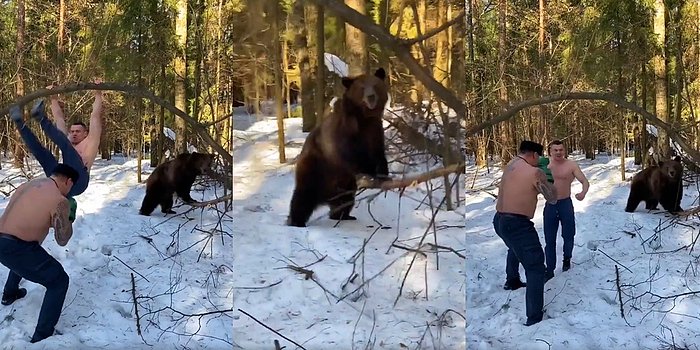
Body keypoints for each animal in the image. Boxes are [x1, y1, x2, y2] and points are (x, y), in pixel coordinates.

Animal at [286, 68, 392, 227]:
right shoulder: (344, 133)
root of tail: (325, 196)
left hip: (345, 183)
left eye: (375, 85)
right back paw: (296, 221)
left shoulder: (374, 131)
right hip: (315, 165)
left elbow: (378, 153)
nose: (371, 97)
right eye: (362, 88)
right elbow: (350, 154)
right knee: (303, 195)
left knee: (345, 199)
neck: (364, 118)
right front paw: (369, 170)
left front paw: (384, 174)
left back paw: (342, 215)